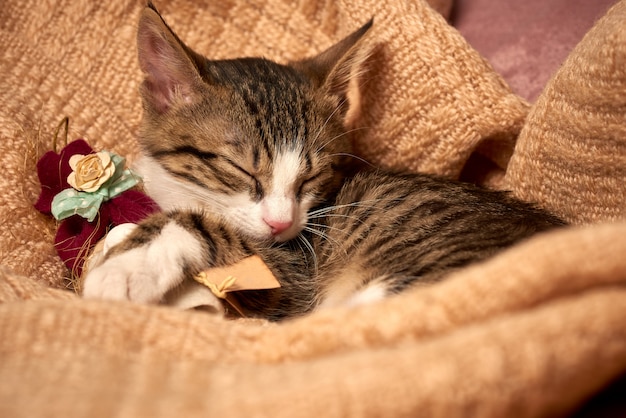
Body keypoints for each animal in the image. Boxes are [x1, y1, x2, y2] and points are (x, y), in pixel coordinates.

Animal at [80, 4, 564, 320]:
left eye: (312, 175)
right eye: (242, 170)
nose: (280, 223)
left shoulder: (292, 277)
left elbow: (200, 226)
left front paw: (125, 265)